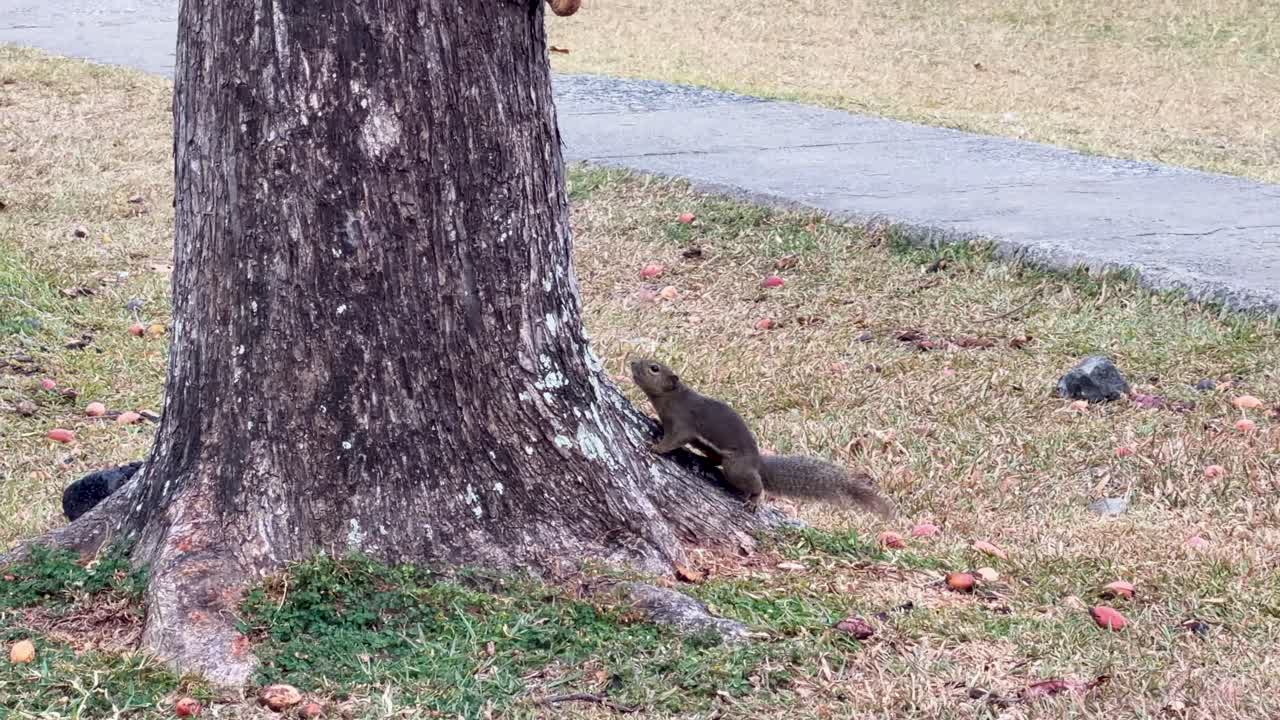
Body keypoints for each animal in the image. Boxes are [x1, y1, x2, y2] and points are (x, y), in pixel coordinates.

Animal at [629, 357, 893, 517]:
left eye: (654, 368)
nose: (632, 362)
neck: (671, 397)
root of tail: (757, 461)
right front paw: (654, 423)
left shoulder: (683, 421)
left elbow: (674, 440)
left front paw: (654, 447)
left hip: (736, 468)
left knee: (754, 483)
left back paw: (755, 499)